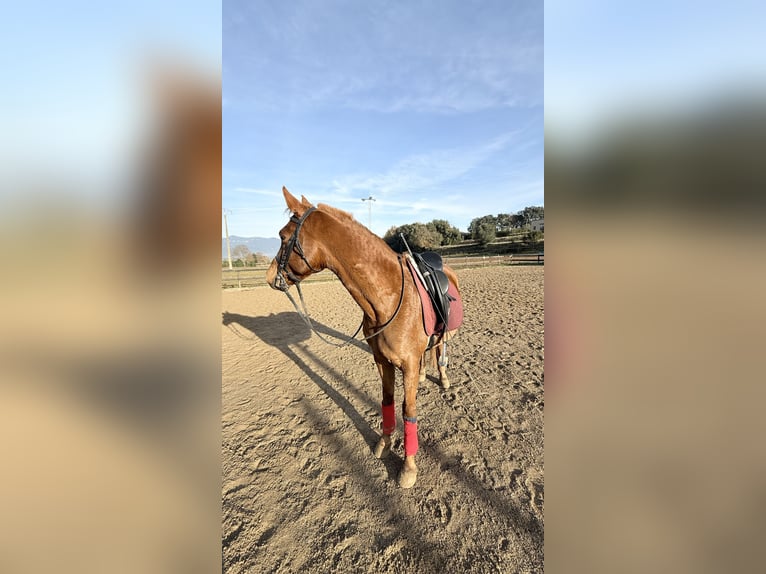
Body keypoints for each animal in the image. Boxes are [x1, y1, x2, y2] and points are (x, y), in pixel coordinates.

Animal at [266, 187, 461, 488]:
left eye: (283, 237)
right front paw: (384, 443)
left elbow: (408, 410)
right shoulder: (382, 360)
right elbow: (387, 401)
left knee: (440, 349)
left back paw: (444, 378)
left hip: (447, 333)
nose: (269, 276)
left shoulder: (406, 364)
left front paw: (408, 467)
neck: (388, 299)